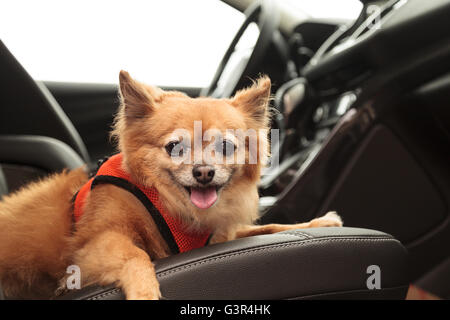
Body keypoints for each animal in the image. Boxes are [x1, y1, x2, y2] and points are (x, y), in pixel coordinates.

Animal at [0, 71, 342, 298]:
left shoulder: (220, 237)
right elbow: (136, 256)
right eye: (175, 147)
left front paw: (319, 222)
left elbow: (269, 228)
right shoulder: (94, 244)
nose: (203, 172)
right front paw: (145, 292)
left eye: (226, 147)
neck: (173, 205)